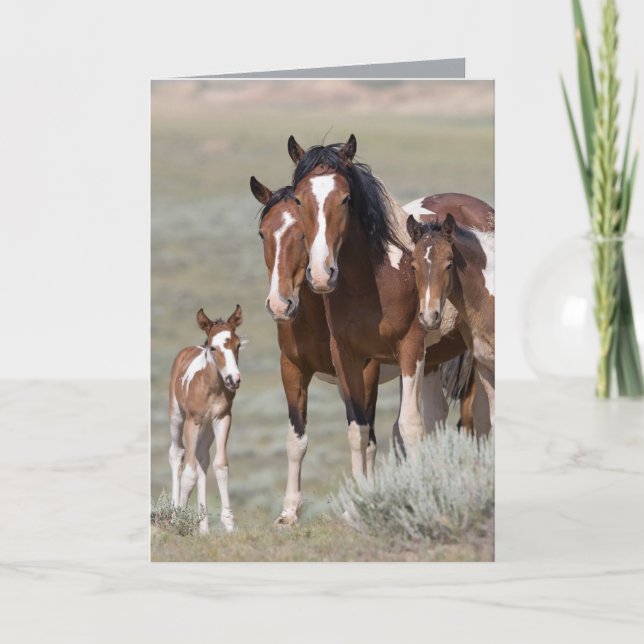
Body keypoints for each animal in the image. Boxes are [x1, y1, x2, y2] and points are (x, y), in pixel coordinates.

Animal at [168, 305, 244, 533]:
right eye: (213, 348)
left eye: (238, 344)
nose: (233, 379)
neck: (211, 387)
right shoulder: (192, 422)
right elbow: (189, 474)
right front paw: (180, 520)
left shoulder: (222, 419)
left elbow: (220, 466)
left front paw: (229, 523)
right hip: (177, 417)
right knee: (177, 454)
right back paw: (174, 515)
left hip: (207, 427)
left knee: (202, 458)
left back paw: (203, 527)